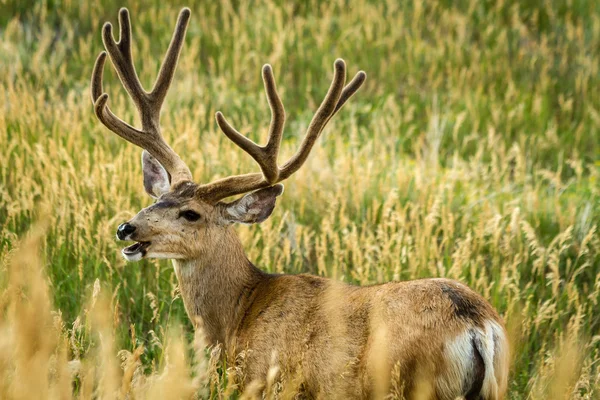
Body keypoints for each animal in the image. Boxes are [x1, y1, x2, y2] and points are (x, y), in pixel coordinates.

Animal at [91, 7, 508, 400]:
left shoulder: (266, 379)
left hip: (410, 383)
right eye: (159, 198)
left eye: (191, 214)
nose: (126, 228)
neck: (235, 317)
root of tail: (477, 326)